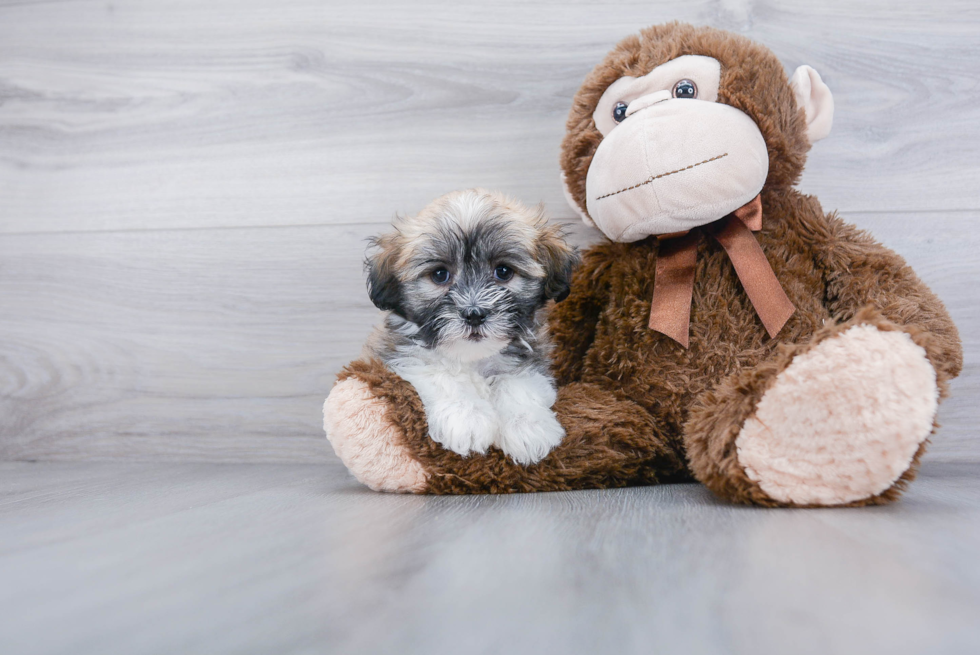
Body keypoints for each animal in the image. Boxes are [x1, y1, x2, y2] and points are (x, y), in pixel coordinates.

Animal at [362, 190, 580, 466]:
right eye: (440, 274)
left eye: (503, 271)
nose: (474, 314)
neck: (472, 357)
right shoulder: (401, 352)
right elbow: (439, 372)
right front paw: (466, 417)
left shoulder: (530, 353)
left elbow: (518, 381)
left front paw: (526, 426)